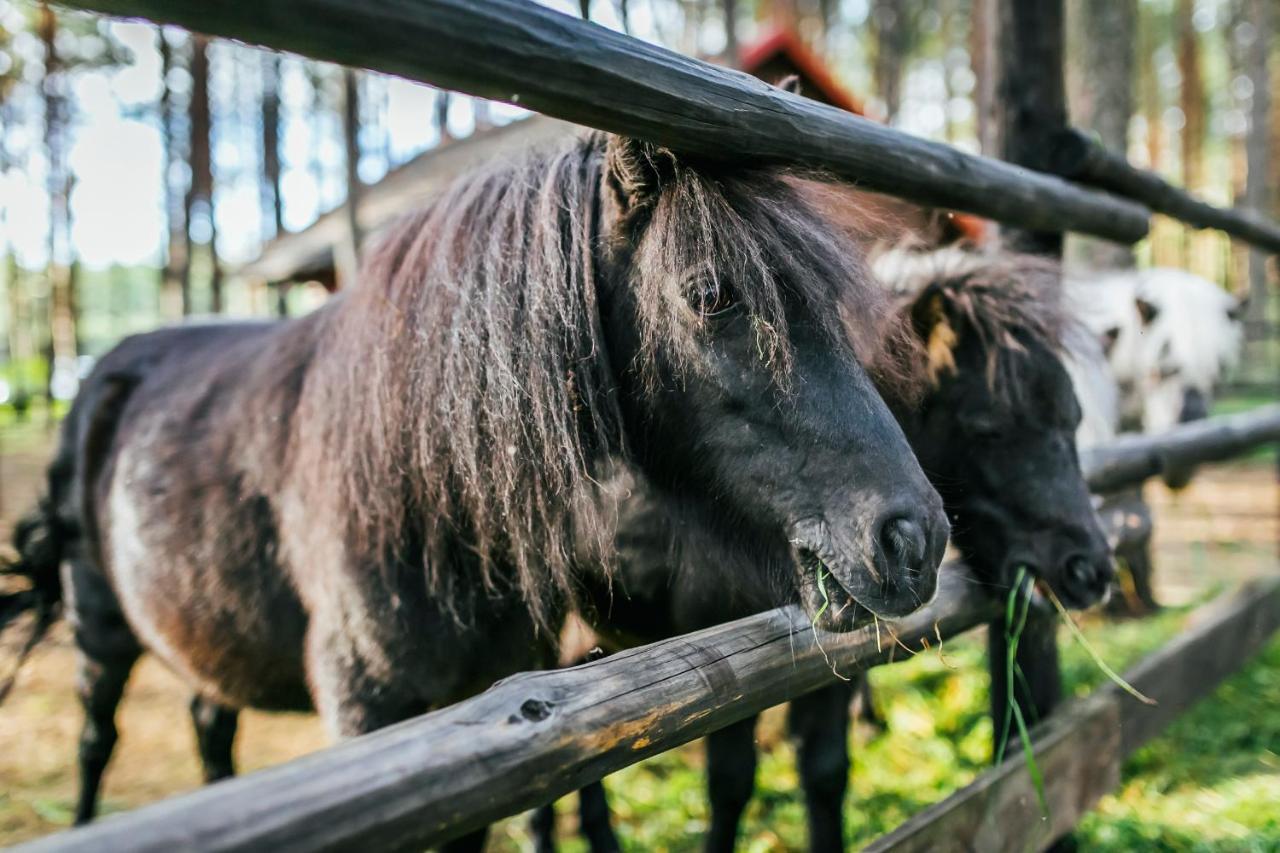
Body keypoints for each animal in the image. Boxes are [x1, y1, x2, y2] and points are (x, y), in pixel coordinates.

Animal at [0, 133, 952, 845]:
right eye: (711, 294)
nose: (915, 538)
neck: (418, 501)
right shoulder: (370, 717)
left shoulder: (477, 729)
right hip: (100, 639)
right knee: (96, 742)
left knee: (210, 721)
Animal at [535, 245, 1116, 850]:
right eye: (988, 428)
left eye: (1072, 419)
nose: (1091, 570)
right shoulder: (720, 669)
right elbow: (730, 786)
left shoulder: (832, 664)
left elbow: (826, 774)